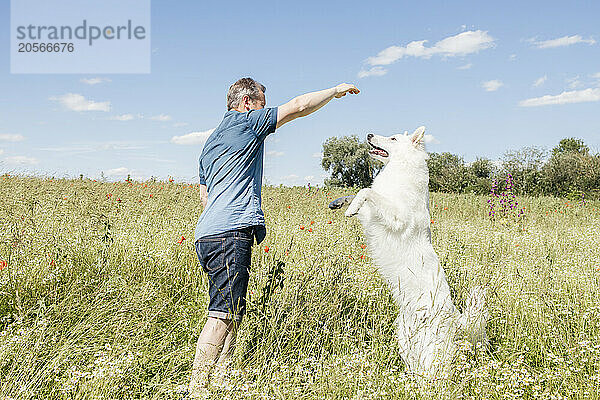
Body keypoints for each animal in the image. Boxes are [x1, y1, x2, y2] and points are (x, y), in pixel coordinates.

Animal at [342, 127, 488, 382]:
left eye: (392, 138)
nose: (369, 134)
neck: (400, 168)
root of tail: (456, 318)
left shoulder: (396, 216)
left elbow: (367, 190)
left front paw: (350, 207)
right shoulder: (372, 215)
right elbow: (362, 194)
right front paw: (344, 203)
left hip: (431, 351)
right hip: (406, 339)